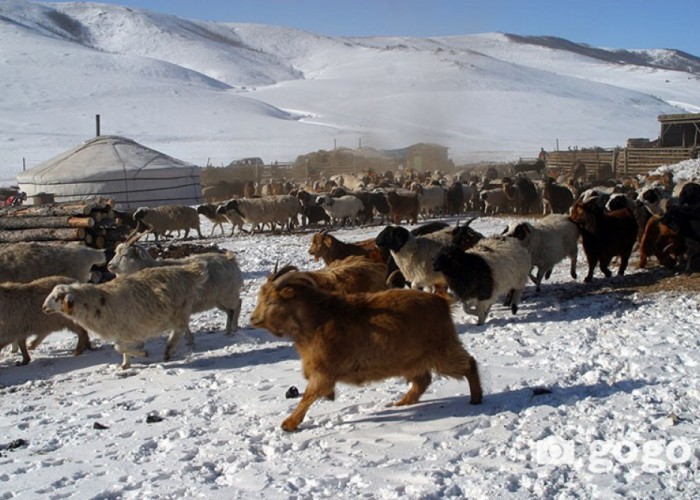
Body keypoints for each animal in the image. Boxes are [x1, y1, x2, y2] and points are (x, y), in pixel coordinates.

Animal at [42, 260, 206, 370]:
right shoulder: (121, 332)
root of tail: (187, 271)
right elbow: (121, 348)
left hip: (180, 309)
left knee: (178, 329)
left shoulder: (128, 330)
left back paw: (169, 350)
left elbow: (118, 347)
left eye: (56, 297)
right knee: (182, 327)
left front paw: (142, 353)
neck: (97, 303)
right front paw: (125, 365)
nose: (43, 307)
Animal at [106, 240, 243, 334]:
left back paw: (234, 327)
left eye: (126, 255)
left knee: (238, 304)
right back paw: (228, 329)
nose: (109, 265)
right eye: (115, 253)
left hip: (228, 294)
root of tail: (230, 258)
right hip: (218, 299)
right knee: (230, 310)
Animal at [249, 272, 484, 432]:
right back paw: (401, 402)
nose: (253, 319)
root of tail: (440, 301)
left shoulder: (323, 371)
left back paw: (476, 398)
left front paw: (288, 424)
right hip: (411, 359)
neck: (319, 319)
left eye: (271, 301)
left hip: (441, 351)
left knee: (469, 363)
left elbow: (309, 395)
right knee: (423, 380)